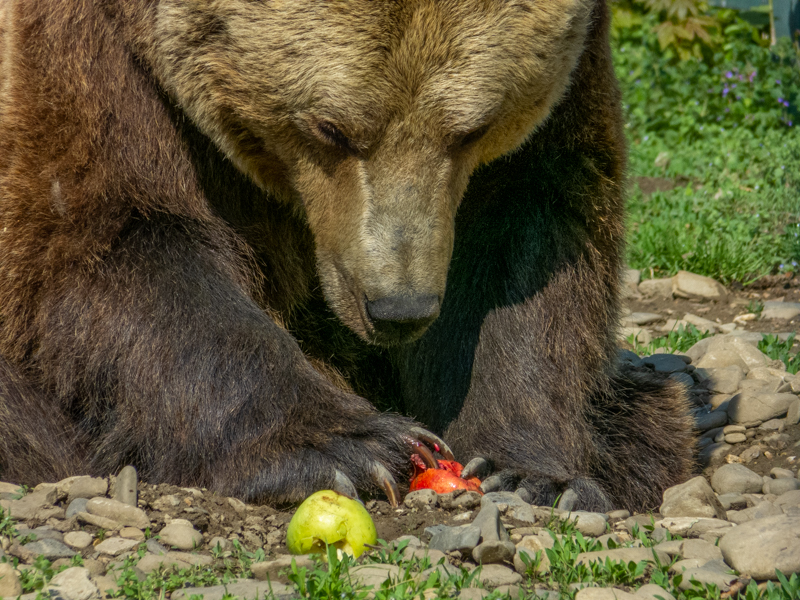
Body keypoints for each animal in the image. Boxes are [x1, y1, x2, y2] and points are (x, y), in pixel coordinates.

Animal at [0, 0, 695, 512]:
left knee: (651, 414)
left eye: (471, 129)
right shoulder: (95, 67)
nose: (398, 308)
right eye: (330, 128)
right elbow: (112, 241)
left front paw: (526, 472)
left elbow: (521, 243)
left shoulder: (563, 94)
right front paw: (352, 449)